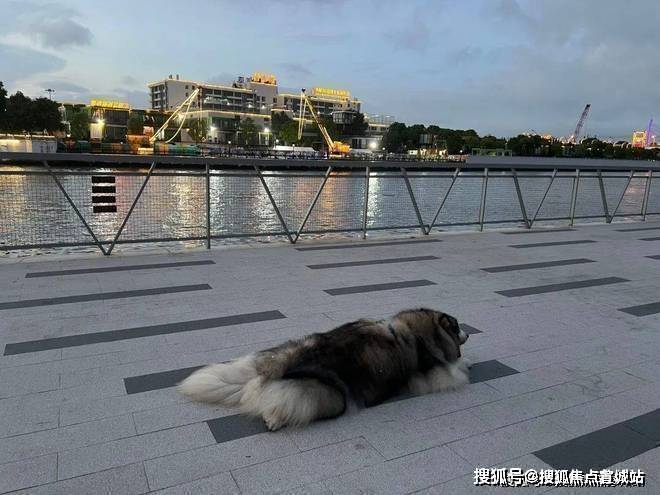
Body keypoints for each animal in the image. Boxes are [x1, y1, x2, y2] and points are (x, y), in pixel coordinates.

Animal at [178, 308, 470, 431]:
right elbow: (453, 371)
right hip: (330, 397)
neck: (418, 330)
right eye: (457, 327)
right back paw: (274, 419)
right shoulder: (429, 373)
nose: (468, 333)